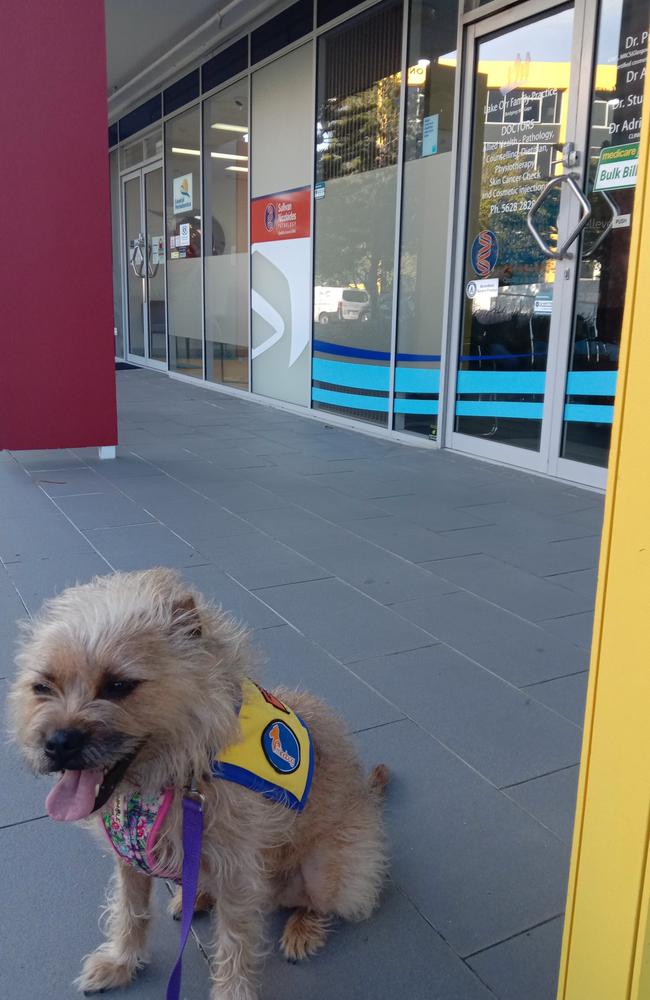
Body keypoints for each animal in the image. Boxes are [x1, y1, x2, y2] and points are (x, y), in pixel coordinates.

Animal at [7, 568, 388, 996]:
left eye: (119, 685)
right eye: (42, 686)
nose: (57, 744)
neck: (169, 779)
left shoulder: (237, 874)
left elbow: (235, 943)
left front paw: (232, 992)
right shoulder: (129, 861)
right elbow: (129, 911)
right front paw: (122, 962)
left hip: (326, 871)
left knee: (321, 902)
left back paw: (302, 928)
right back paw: (197, 897)